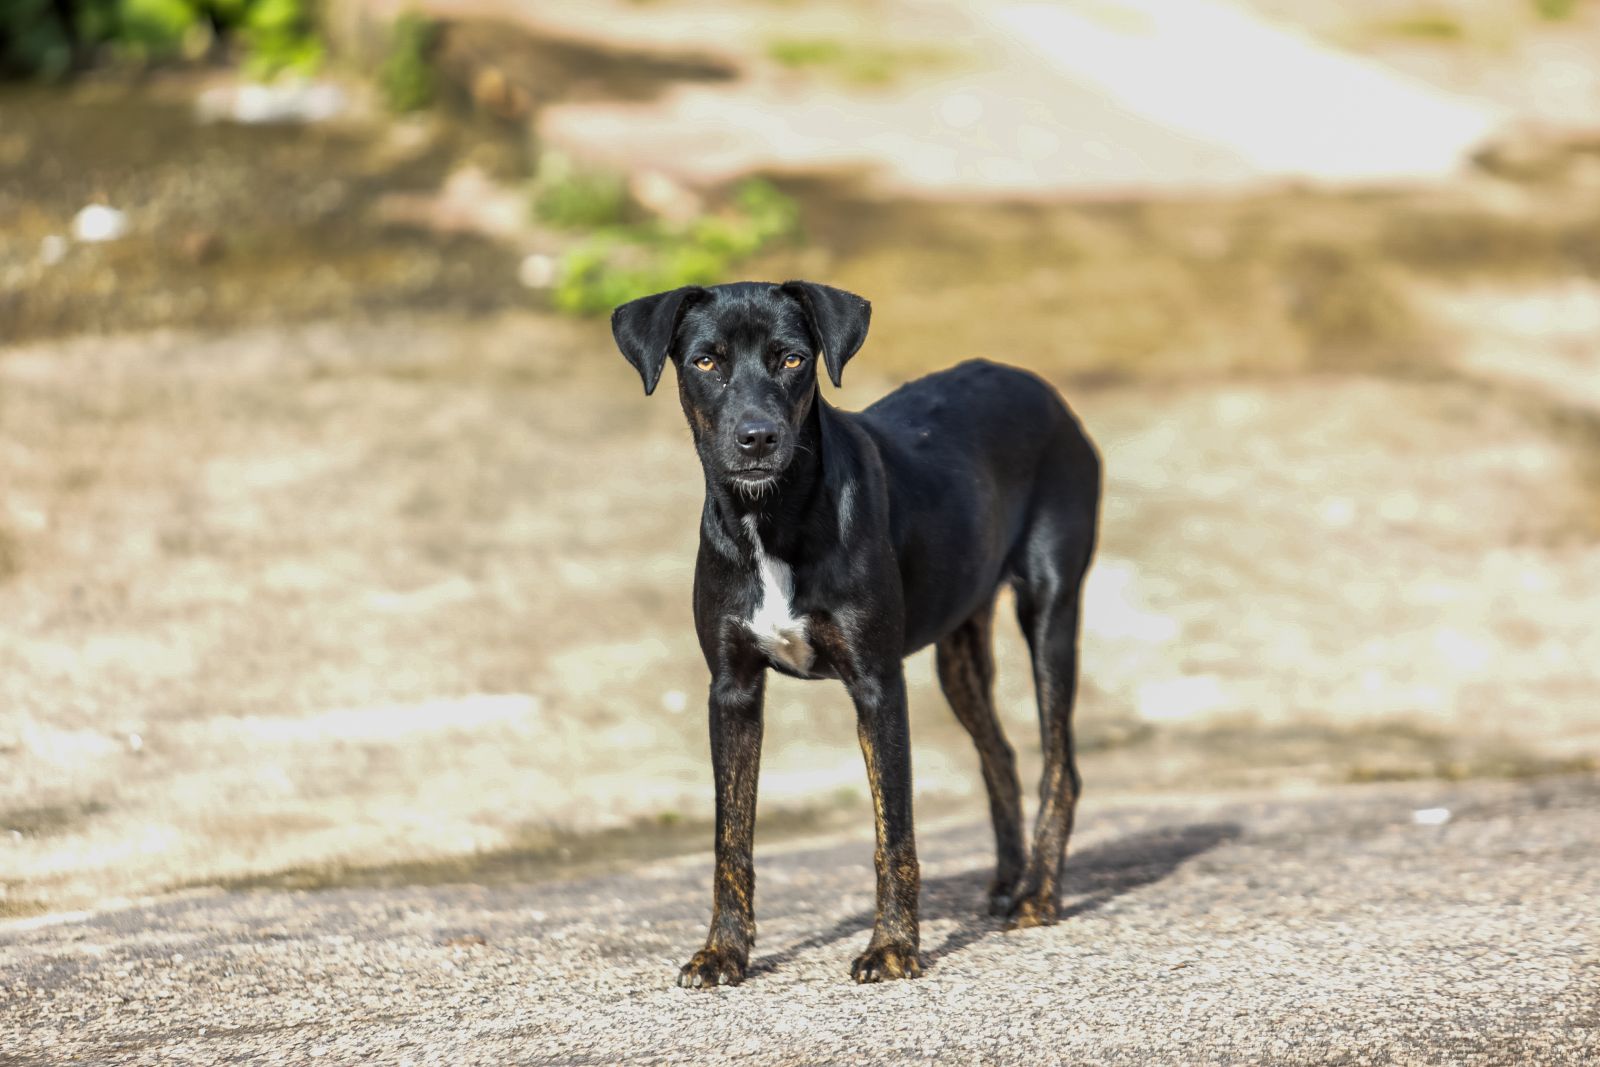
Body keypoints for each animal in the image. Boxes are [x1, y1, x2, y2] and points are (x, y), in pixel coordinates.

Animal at [611, 278, 1100, 985]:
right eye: (706, 361)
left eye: (792, 358)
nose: (757, 438)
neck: (771, 519)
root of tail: (1039, 386)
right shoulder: (732, 690)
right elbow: (731, 837)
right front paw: (723, 952)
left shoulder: (876, 684)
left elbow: (892, 830)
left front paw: (893, 946)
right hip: (959, 647)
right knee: (1000, 757)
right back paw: (1010, 881)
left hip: (1050, 610)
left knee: (1059, 765)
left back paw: (1038, 893)